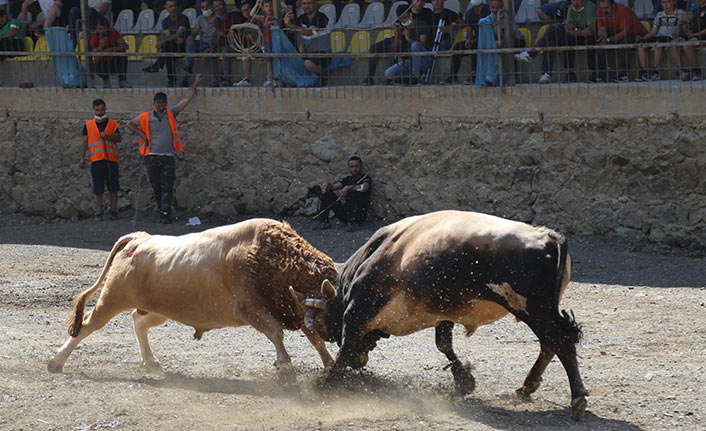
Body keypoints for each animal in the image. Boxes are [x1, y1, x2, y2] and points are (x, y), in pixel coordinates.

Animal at [48, 219, 336, 378]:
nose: (336, 335)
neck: (273, 259)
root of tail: (139, 239)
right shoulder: (250, 308)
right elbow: (276, 331)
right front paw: (285, 366)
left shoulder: (296, 310)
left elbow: (314, 339)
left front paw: (330, 364)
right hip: (112, 298)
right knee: (88, 324)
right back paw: (56, 362)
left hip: (159, 309)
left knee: (138, 321)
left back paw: (152, 363)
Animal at [296, 212, 588, 422]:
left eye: (328, 323)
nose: (361, 361)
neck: (375, 254)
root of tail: (547, 236)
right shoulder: (444, 313)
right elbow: (444, 344)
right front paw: (464, 381)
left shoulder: (359, 309)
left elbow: (347, 345)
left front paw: (326, 383)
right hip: (539, 310)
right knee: (549, 344)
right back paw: (527, 387)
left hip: (533, 309)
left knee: (560, 341)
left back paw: (577, 398)